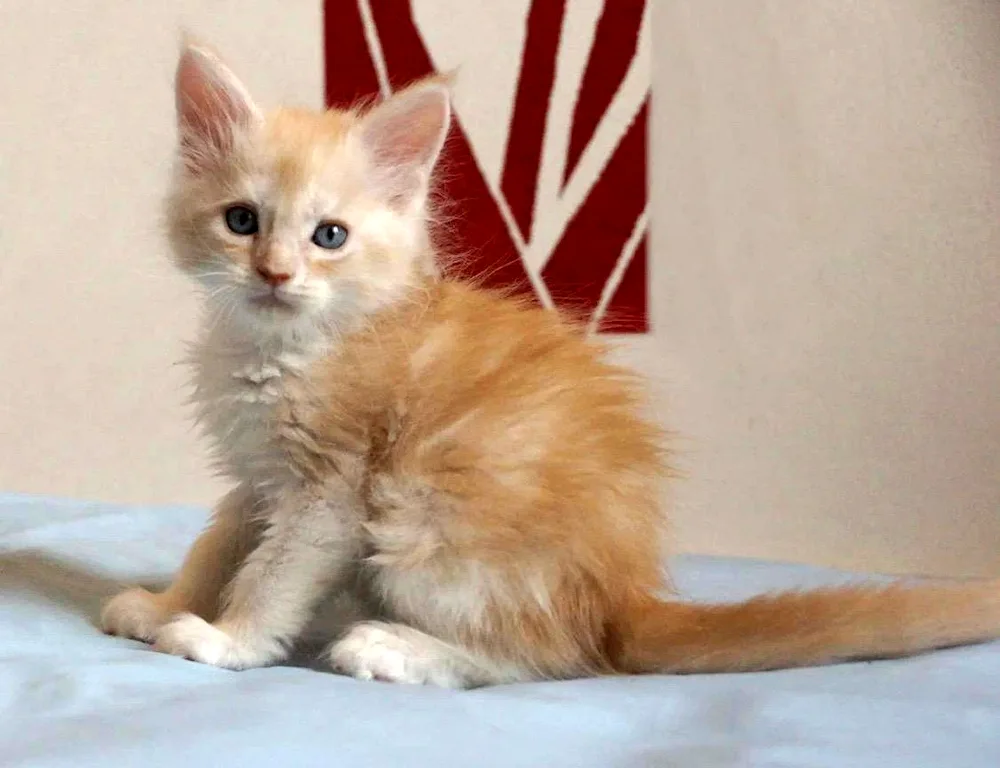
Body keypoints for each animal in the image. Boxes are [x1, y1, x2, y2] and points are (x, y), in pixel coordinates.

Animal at [101, 45, 1000, 688]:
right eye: (242, 221)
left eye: (330, 236)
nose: (276, 274)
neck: (286, 345)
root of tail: (621, 599)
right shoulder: (257, 476)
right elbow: (219, 542)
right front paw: (169, 604)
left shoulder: (332, 486)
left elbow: (275, 572)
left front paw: (227, 639)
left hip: (423, 517)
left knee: (551, 658)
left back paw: (396, 648)